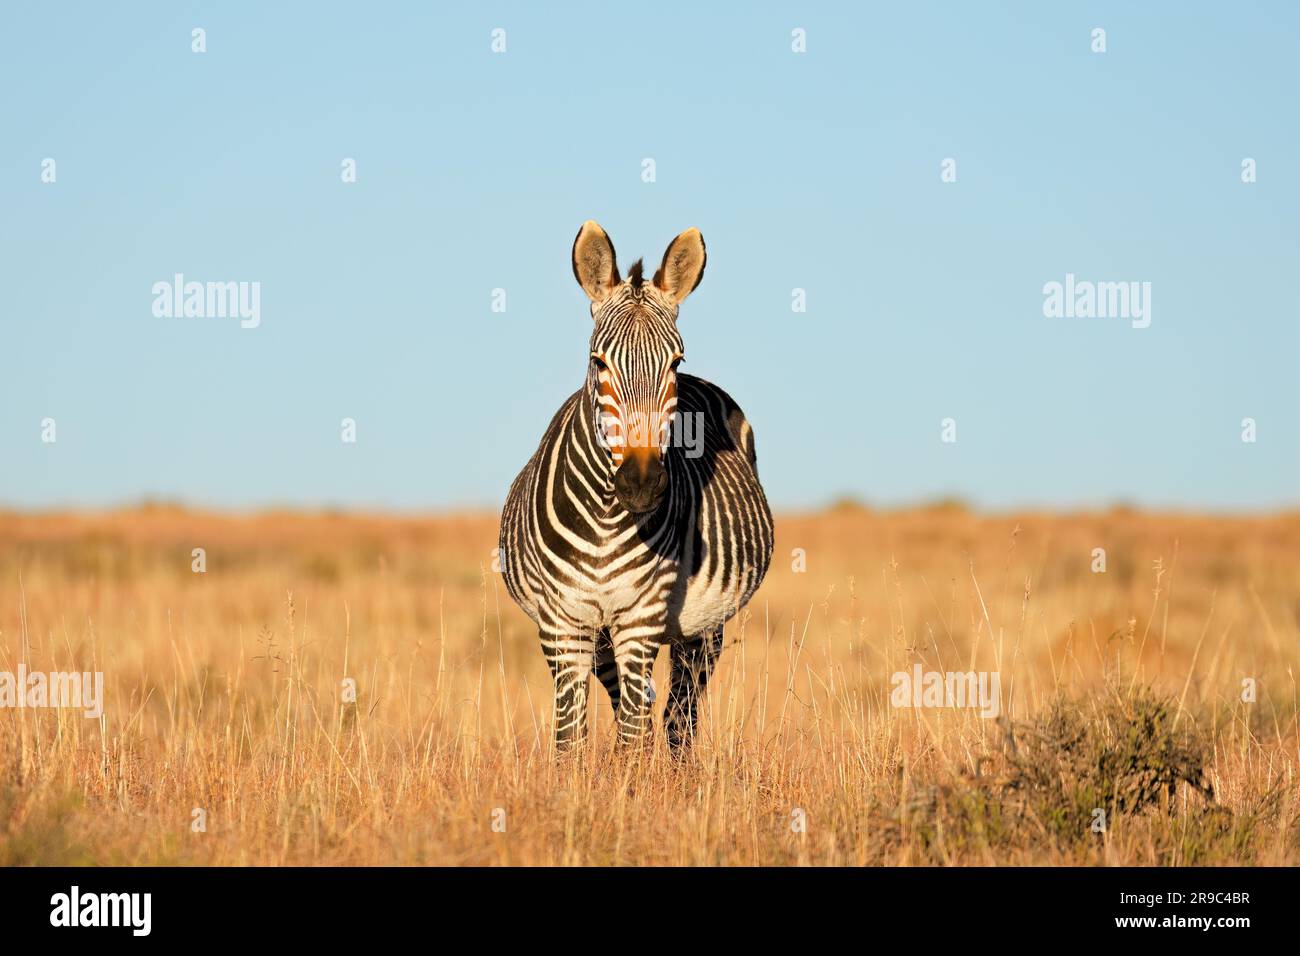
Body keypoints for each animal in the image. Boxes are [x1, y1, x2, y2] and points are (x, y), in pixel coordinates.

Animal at [499, 221, 774, 753]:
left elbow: (630, 736)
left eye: (675, 362)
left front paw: (631, 777)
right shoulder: (563, 625)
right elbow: (571, 740)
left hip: (704, 628)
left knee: (678, 716)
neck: (606, 516)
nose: (642, 485)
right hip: (602, 636)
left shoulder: (640, 618)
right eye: (598, 362)